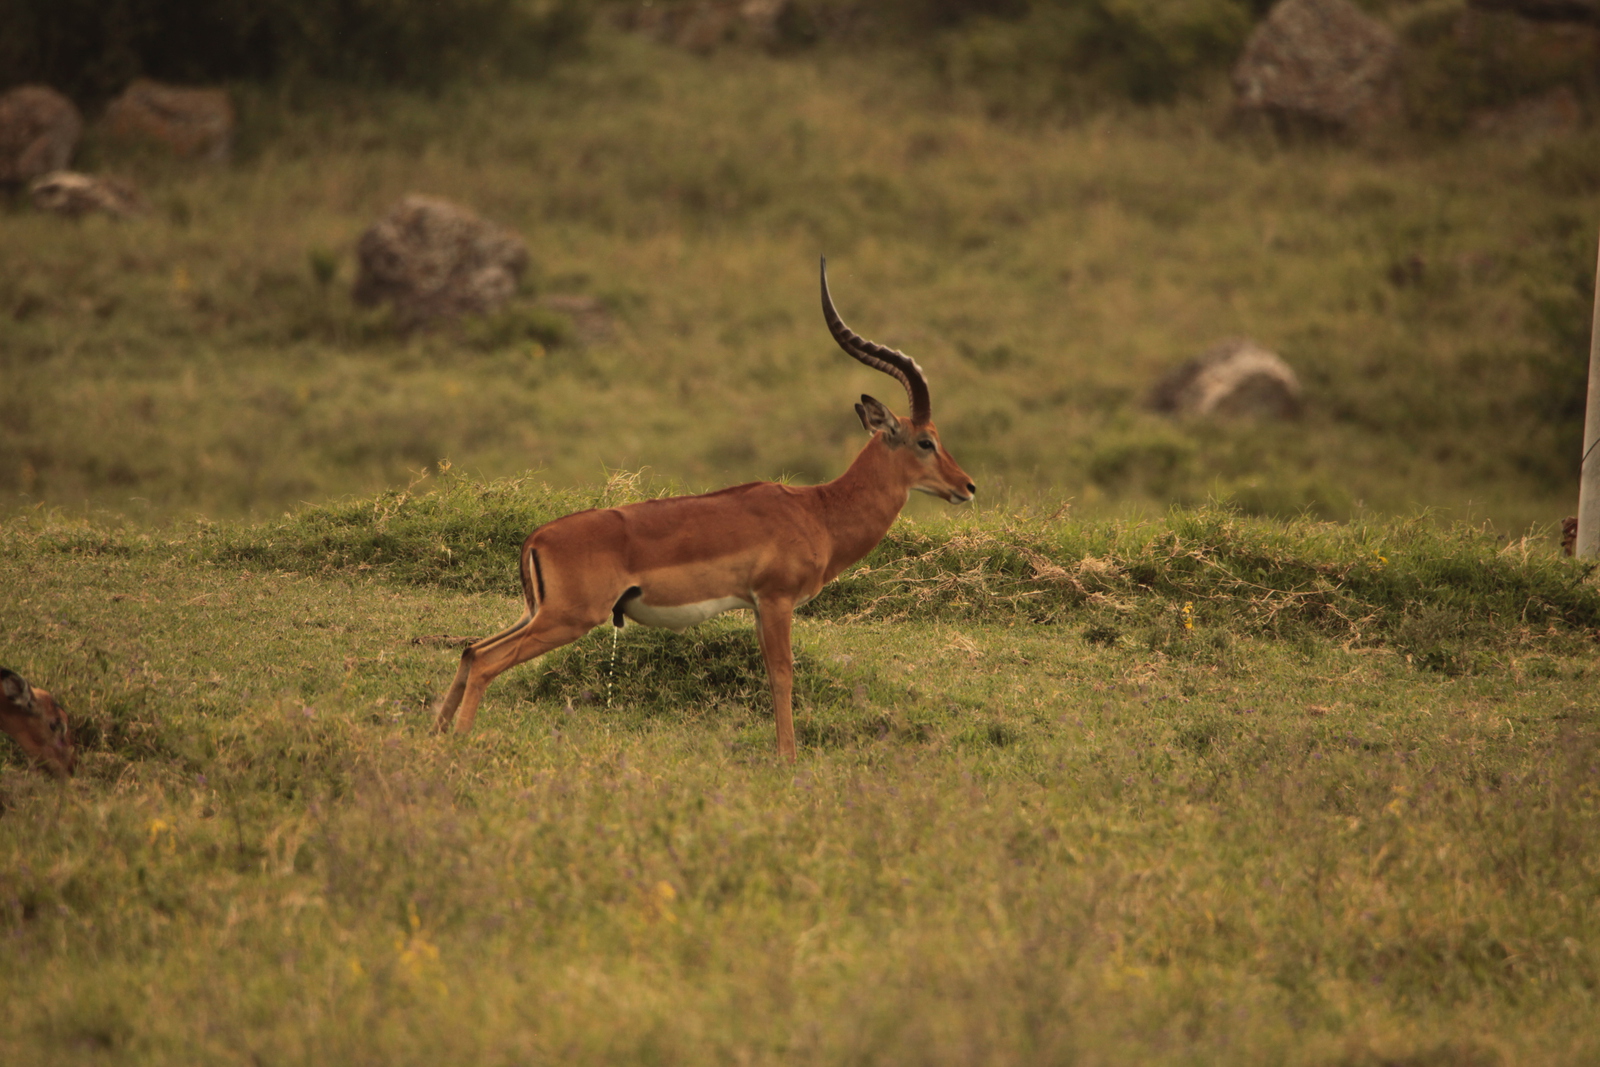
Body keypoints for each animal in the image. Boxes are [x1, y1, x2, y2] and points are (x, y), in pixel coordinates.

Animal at [428, 259, 972, 758]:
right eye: (926, 441)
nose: (966, 486)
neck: (817, 511)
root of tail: (537, 538)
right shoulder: (775, 600)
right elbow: (781, 675)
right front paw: (788, 759)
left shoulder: (757, 606)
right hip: (568, 618)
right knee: (487, 660)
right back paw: (459, 742)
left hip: (538, 614)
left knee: (471, 649)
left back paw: (434, 735)